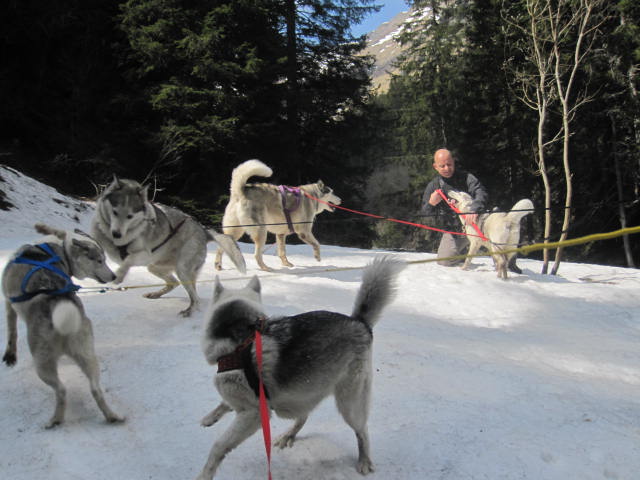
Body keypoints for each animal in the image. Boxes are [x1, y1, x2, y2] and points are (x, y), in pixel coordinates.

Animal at [1, 222, 124, 428]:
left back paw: (55, 420)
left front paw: (10, 355)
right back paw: (112, 416)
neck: (58, 249)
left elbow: (12, 332)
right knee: (96, 389)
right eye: (99, 260)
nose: (113, 275)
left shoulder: (9, 303)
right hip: (88, 356)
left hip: (43, 364)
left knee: (61, 390)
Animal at [91, 175, 246, 316]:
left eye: (130, 216)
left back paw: (189, 310)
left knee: (195, 298)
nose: (116, 234)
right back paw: (156, 294)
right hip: (155, 267)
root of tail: (204, 231)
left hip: (181, 269)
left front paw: (119, 276)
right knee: (174, 283)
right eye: (115, 212)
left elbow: (127, 261)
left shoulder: (144, 255)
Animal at [196, 256, 404, 478]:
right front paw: (210, 417)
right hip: (304, 390)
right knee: (303, 416)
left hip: (349, 402)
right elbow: (224, 403)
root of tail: (359, 322)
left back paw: (364, 459)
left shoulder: (253, 414)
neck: (242, 338)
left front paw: (205, 474)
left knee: (362, 431)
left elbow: (219, 446)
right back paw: (289, 435)